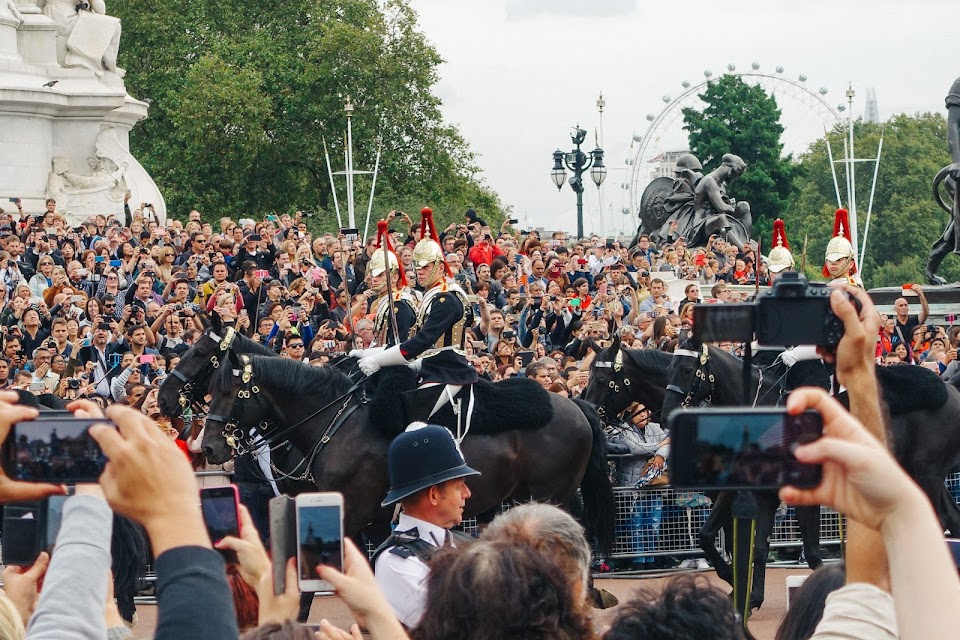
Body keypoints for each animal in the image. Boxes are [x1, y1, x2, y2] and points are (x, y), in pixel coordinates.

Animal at [202, 350, 620, 552]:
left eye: (229, 391)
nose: (208, 446)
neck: (337, 422)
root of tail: (574, 403)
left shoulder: (352, 514)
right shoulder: (367, 519)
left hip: (554, 493)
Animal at [664, 338, 960, 608]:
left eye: (687, 369)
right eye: (670, 366)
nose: (668, 412)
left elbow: (812, 553)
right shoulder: (763, 495)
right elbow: (748, 546)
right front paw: (746, 593)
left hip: (927, 475)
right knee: (949, 518)